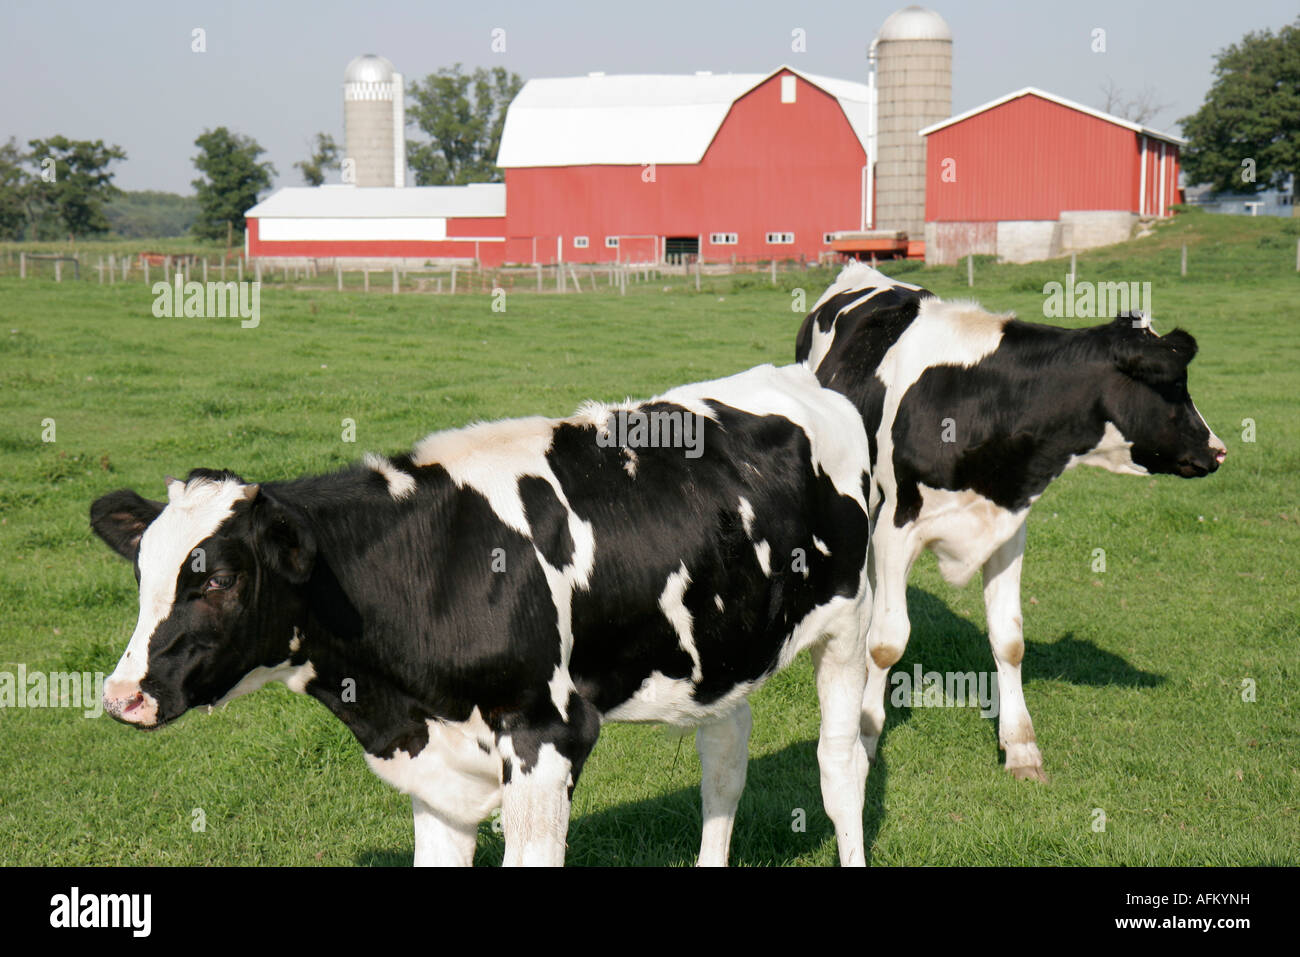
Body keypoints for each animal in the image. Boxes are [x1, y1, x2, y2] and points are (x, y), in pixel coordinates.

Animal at [91, 361, 873, 868]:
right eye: (141, 570)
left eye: (220, 578)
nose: (122, 695)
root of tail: (798, 376)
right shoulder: (437, 765)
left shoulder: (547, 734)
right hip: (719, 654)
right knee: (724, 761)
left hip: (849, 625)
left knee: (841, 767)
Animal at [790, 260, 1227, 780]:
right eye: (1175, 386)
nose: (1218, 450)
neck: (977, 402)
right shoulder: (897, 528)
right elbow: (887, 643)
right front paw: (867, 733)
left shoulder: (1006, 527)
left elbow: (1009, 639)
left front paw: (1021, 747)